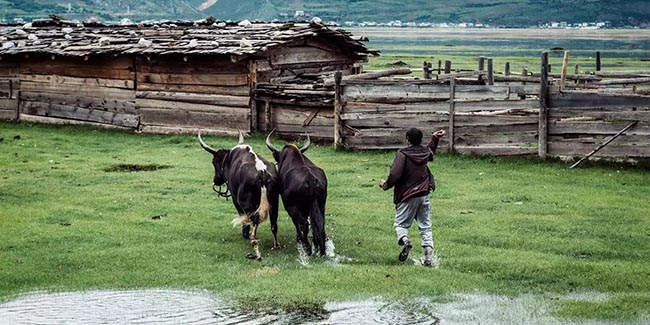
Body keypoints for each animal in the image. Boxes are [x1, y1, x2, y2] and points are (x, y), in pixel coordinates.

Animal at [197, 130, 278, 260]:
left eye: (213, 162)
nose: (216, 180)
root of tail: (262, 172)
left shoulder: (236, 200)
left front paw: (244, 234)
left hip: (248, 203)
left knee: (253, 219)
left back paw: (253, 242)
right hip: (275, 202)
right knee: (274, 223)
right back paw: (275, 245)